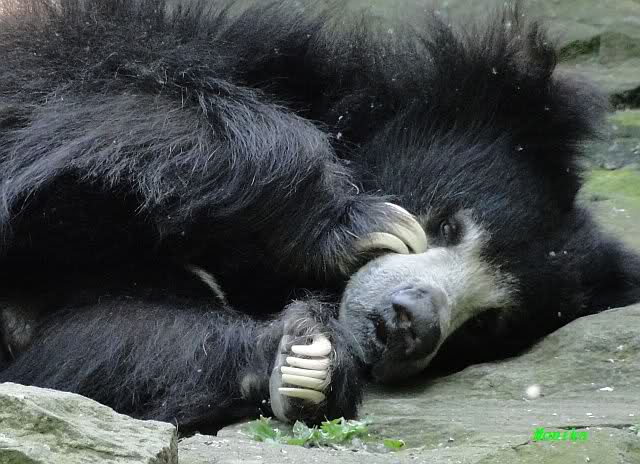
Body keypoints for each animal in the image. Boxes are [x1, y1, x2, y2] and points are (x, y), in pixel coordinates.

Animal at [1, 0, 639, 432]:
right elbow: (76, 81)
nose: (410, 323)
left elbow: (88, 335)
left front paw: (302, 362)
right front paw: (361, 225)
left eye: (487, 323)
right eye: (449, 225)